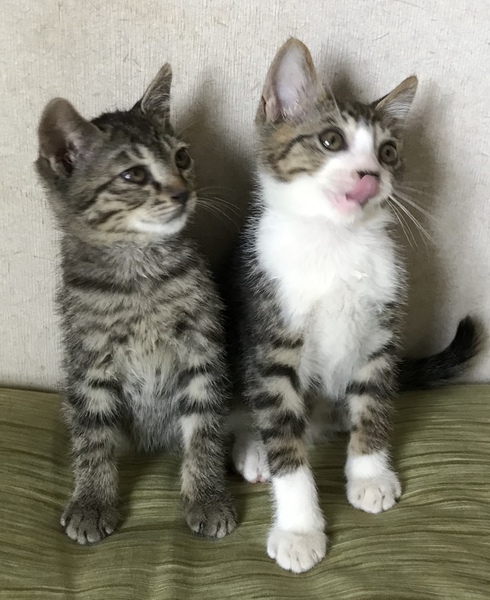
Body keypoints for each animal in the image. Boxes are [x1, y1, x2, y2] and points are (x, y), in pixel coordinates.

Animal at [35, 64, 237, 545]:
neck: (138, 273)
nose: (183, 192)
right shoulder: (89, 359)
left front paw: (207, 496)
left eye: (181, 158)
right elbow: (92, 436)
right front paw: (92, 501)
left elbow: (204, 426)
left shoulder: (202, 347)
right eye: (133, 176)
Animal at [230, 39, 479, 573]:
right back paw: (253, 448)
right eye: (330, 140)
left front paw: (369, 473)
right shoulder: (271, 340)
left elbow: (375, 403)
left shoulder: (380, 331)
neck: (336, 243)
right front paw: (299, 529)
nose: (370, 175)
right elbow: (284, 439)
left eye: (387, 152)